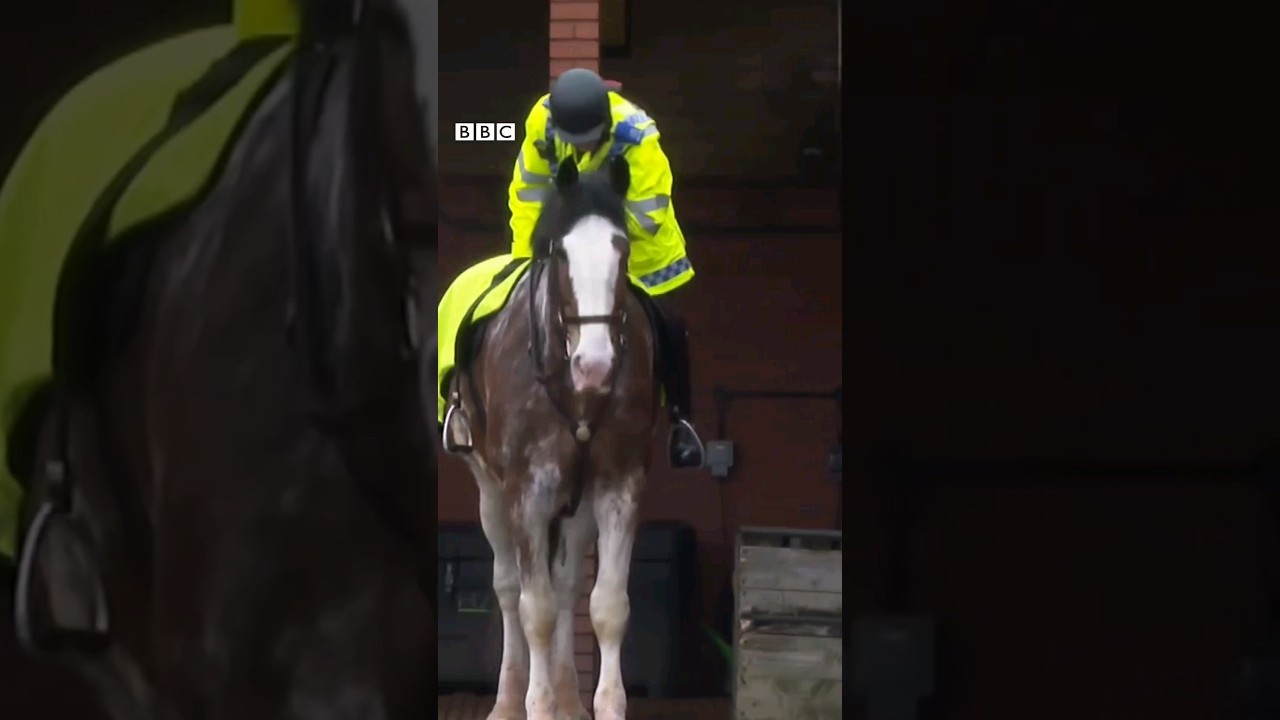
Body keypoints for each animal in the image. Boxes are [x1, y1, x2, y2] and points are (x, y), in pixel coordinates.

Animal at [441, 156, 661, 720]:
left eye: (623, 249)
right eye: (561, 252)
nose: (595, 365)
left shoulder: (619, 485)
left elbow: (606, 605)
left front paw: (600, 705)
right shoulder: (527, 491)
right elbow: (533, 609)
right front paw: (534, 705)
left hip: (577, 503)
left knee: (565, 589)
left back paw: (568, 700)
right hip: (491, 491)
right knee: (508, 587)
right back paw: (506, 702)